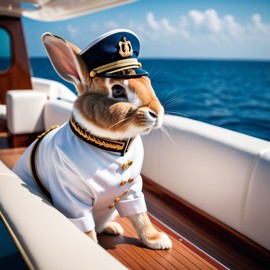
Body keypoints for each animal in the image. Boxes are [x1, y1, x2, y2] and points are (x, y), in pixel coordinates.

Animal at [12, 28, 172, 250]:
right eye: (117, 90)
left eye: (146, 82)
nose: (157, 112)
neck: (113, 147)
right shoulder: (71, 195)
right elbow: (84, 224)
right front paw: (91, 247)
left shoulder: (132, 189)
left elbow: (140, 215)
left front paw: (157, 240)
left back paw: (113, 228)